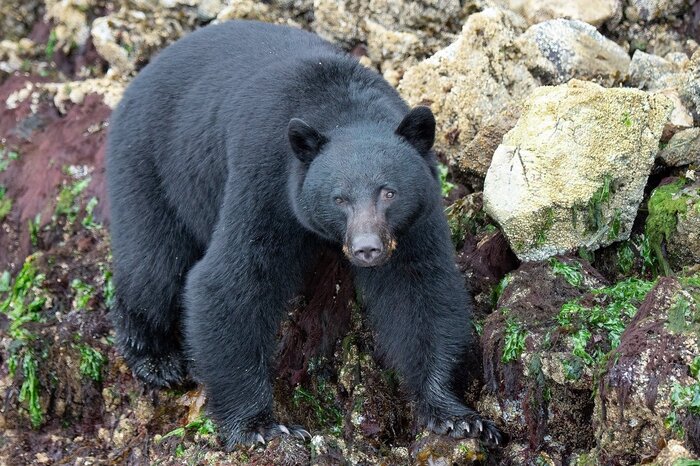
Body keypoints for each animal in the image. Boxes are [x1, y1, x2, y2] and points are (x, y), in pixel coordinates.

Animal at [106, 20, 503, 448]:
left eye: (389, 192)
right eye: (339, 198)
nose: (367, 249)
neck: (341, 107)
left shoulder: (416, 216)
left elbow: (420, 288)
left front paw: (457, 416)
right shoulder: (266, 180)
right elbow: (232, 280)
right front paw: (259, 426)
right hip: (151, 164)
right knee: (155, 263)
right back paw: (155, 359)